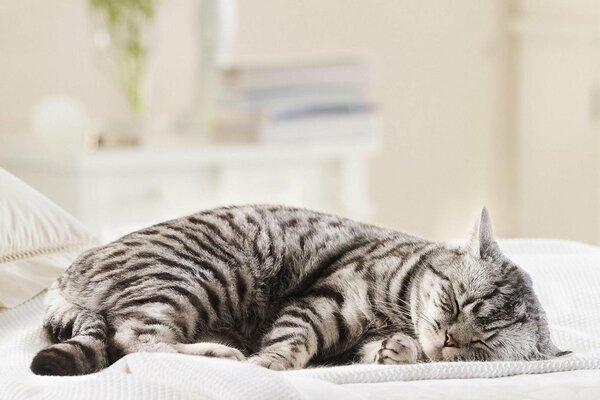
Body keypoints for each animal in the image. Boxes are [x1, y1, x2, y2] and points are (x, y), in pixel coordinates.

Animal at [31, 205, 568, 376]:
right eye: (454, 302)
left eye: (480, 346)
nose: (451, 338)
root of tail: (62, 283)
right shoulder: (322, 304)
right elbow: (289, 346)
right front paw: (268, 367)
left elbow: (390, 350)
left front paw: (396, 351)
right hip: (196, 278)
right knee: (134, 341)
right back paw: (223, 356)